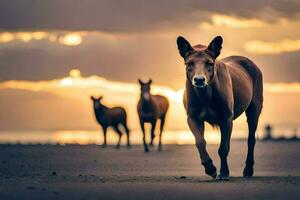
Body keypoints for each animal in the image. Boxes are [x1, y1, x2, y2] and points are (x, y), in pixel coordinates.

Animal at [177, 36, 264, 181]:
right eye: (189, 63)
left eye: (210, 63)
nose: (199, 80)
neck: (205, 95)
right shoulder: (192, 117)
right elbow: (200, 141)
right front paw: (210, 168)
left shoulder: (226, 117)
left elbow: (223, 148)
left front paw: (223, 172)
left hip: (254, 108)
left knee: (251, 139)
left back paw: (248, 169)